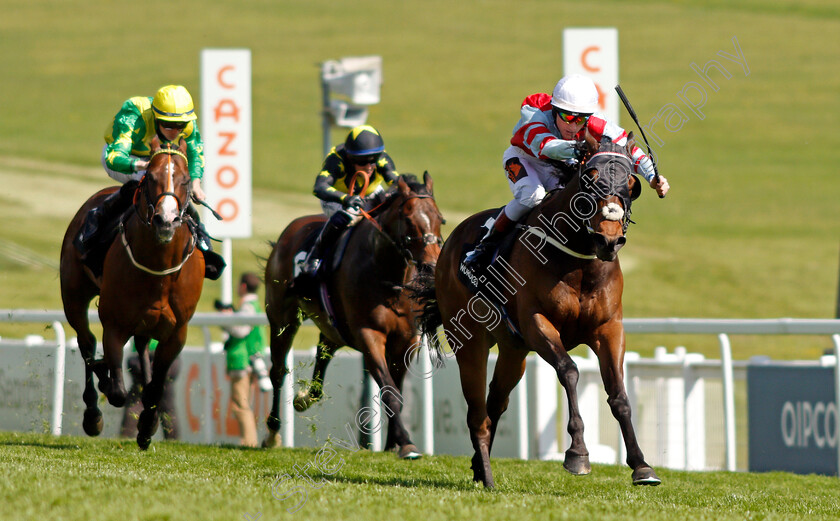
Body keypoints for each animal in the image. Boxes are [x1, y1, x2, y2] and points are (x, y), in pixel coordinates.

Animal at [59, 136, 205, 448]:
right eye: (150, 177)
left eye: (186, 180)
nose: (166, 220)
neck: (159, 266)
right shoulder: (114, 323)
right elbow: (117, 391)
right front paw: (107, 385)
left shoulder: (177, 332)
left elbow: (156, 387)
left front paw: (148, 426)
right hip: (74, 297)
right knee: (86, 343)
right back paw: (93, 413)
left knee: (141, 347)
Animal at [266, 173, 442, 458]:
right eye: (408, 219)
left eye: (440, 219)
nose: (431, 266)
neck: (387, 277)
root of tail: (288, 232)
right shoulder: (369, 335)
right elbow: (389, 391)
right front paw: (405, 443)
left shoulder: (406, 341)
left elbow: (397, 393)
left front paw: (393, 443)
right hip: (283, 318)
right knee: (278, 371)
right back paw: (272, 432)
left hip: (332, 326)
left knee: (322, 354)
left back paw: (304, 399)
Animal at [410, 136, 660, 486]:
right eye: (590, 179)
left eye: (632, 186)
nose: (608, 241)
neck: (577, 261)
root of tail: (448, 247)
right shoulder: (536, 323)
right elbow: (569, 371)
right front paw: (577, 454)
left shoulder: (608, 328)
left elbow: (618, 394)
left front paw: (641, 465)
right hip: (470, 342)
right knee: (476, 412)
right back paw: (486, 475)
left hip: (513, 351)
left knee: (495, 402)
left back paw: (479, 466)